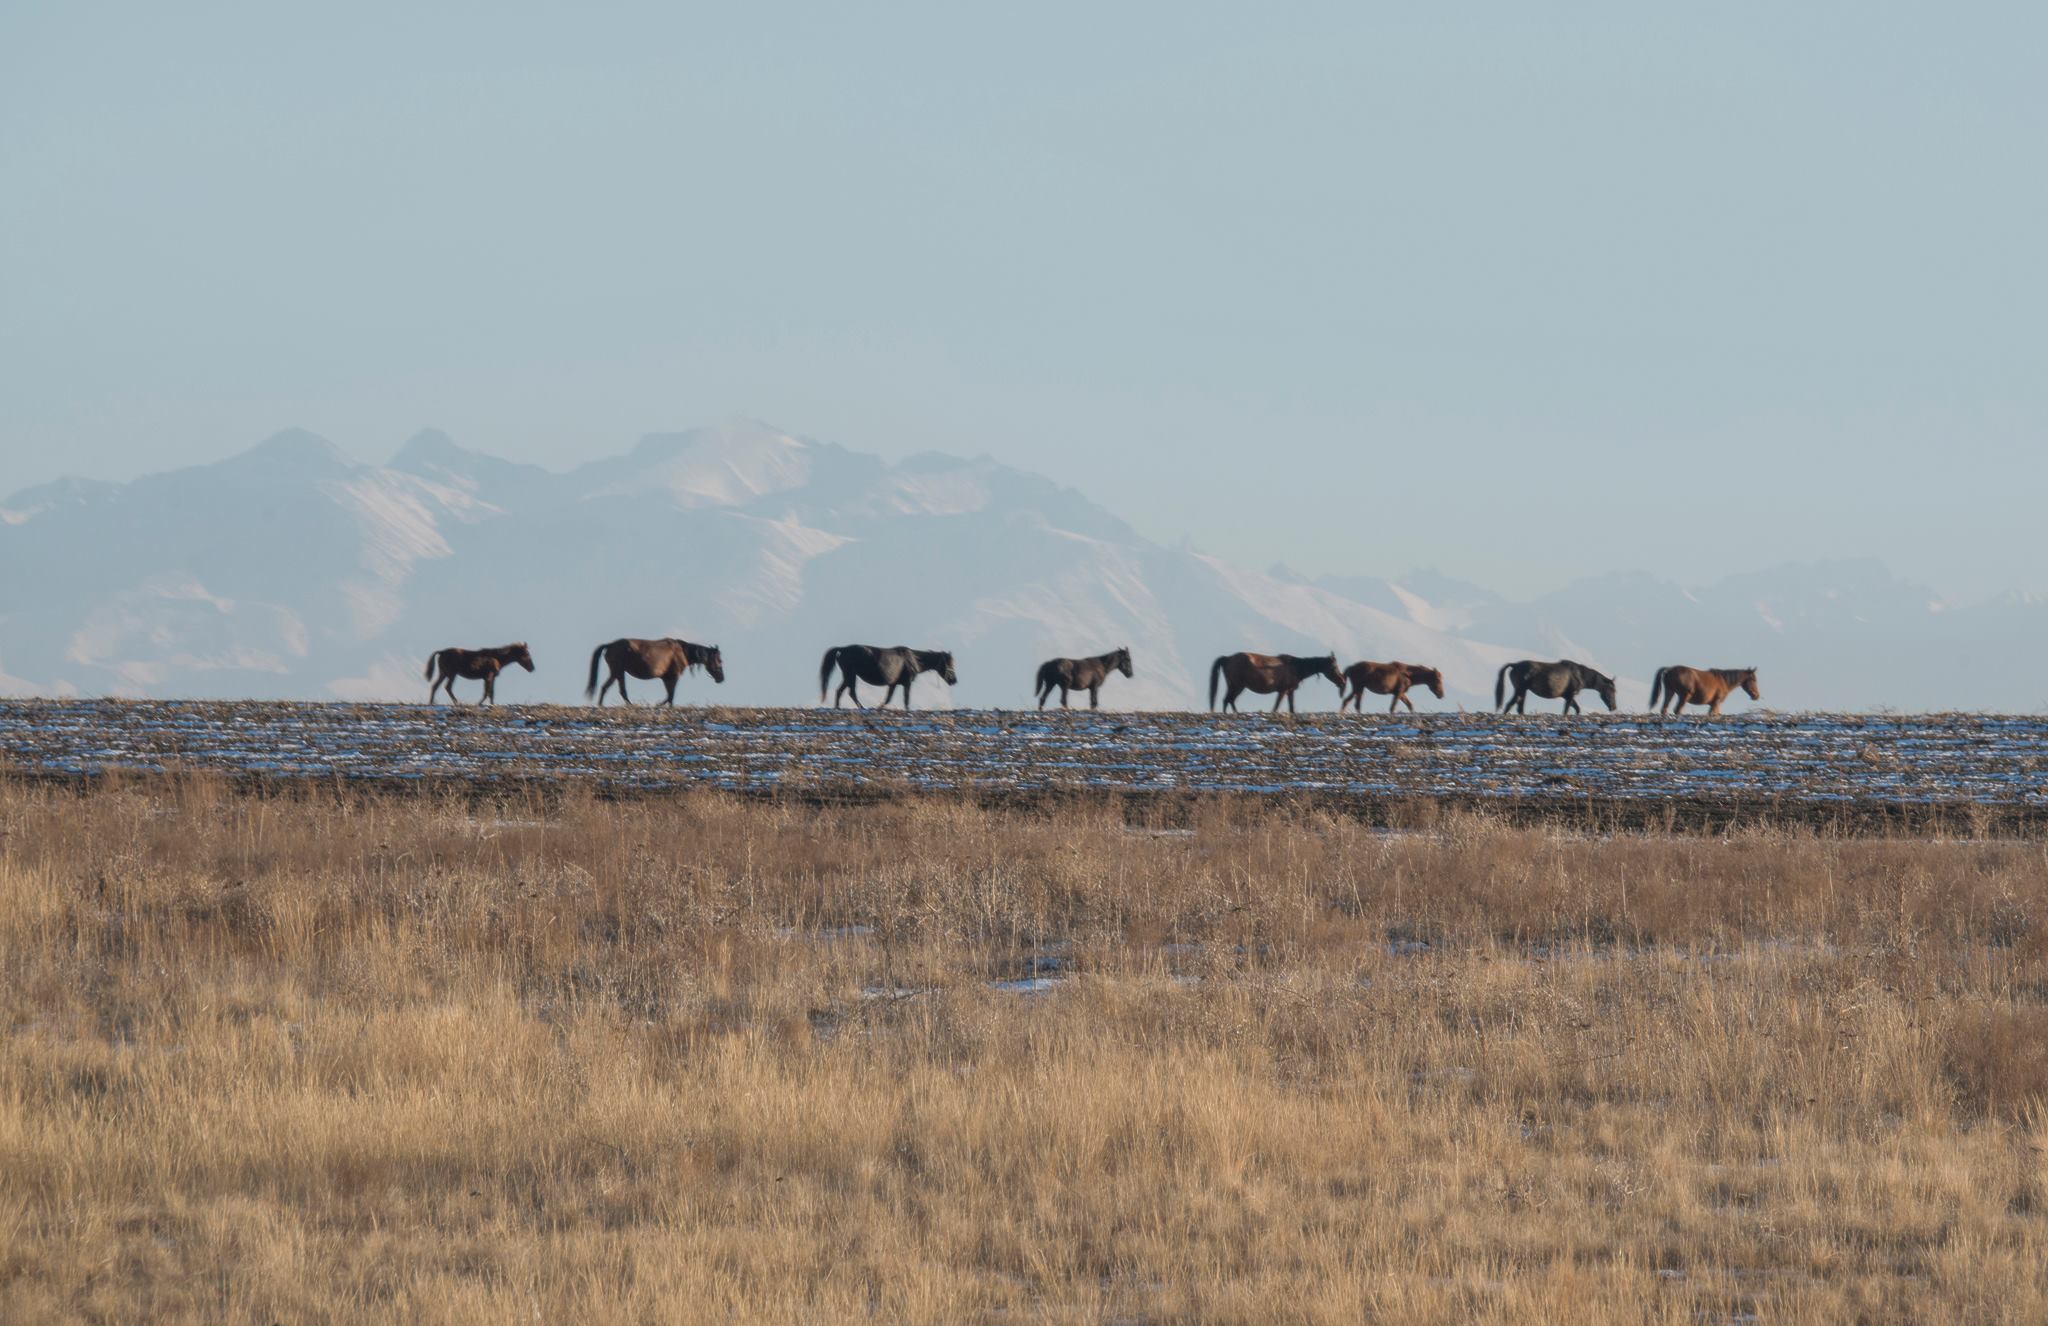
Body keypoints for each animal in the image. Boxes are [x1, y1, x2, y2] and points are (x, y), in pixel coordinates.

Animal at [585, 635, 729, 705]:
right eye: (719, 660)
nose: (721, 678)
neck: (682, 652)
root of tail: (609, 645)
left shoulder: (666, 678)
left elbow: (669, 696)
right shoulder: (673, 676)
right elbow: (670, 696)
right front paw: (658, 706)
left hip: (618, 672)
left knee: (612, 689)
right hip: (617, 671)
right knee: (613, 689)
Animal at [815, 647, 958, 709]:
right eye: (949, 663)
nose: (954, 680)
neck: (913, 659)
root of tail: (842, 649)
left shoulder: (893, 684)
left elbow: (888, 698)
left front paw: (879, 707)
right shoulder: (907, 683)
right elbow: (906, 699)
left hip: (849, 676)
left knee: (840, 691)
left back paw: (838, 708)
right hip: (850, 675)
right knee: (851, 692)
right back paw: (861, 708)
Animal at [1204, 651, 1351, 717]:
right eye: (1333, 667)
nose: (1342, 682)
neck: (1296, 668)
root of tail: (1227, 658)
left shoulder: (1290, 691)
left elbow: (1292, 708)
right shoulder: (1283, 690)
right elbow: (1276, 707)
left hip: (1235, 686)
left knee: (1229, 700)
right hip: (1237, 686)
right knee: (1228, 699)